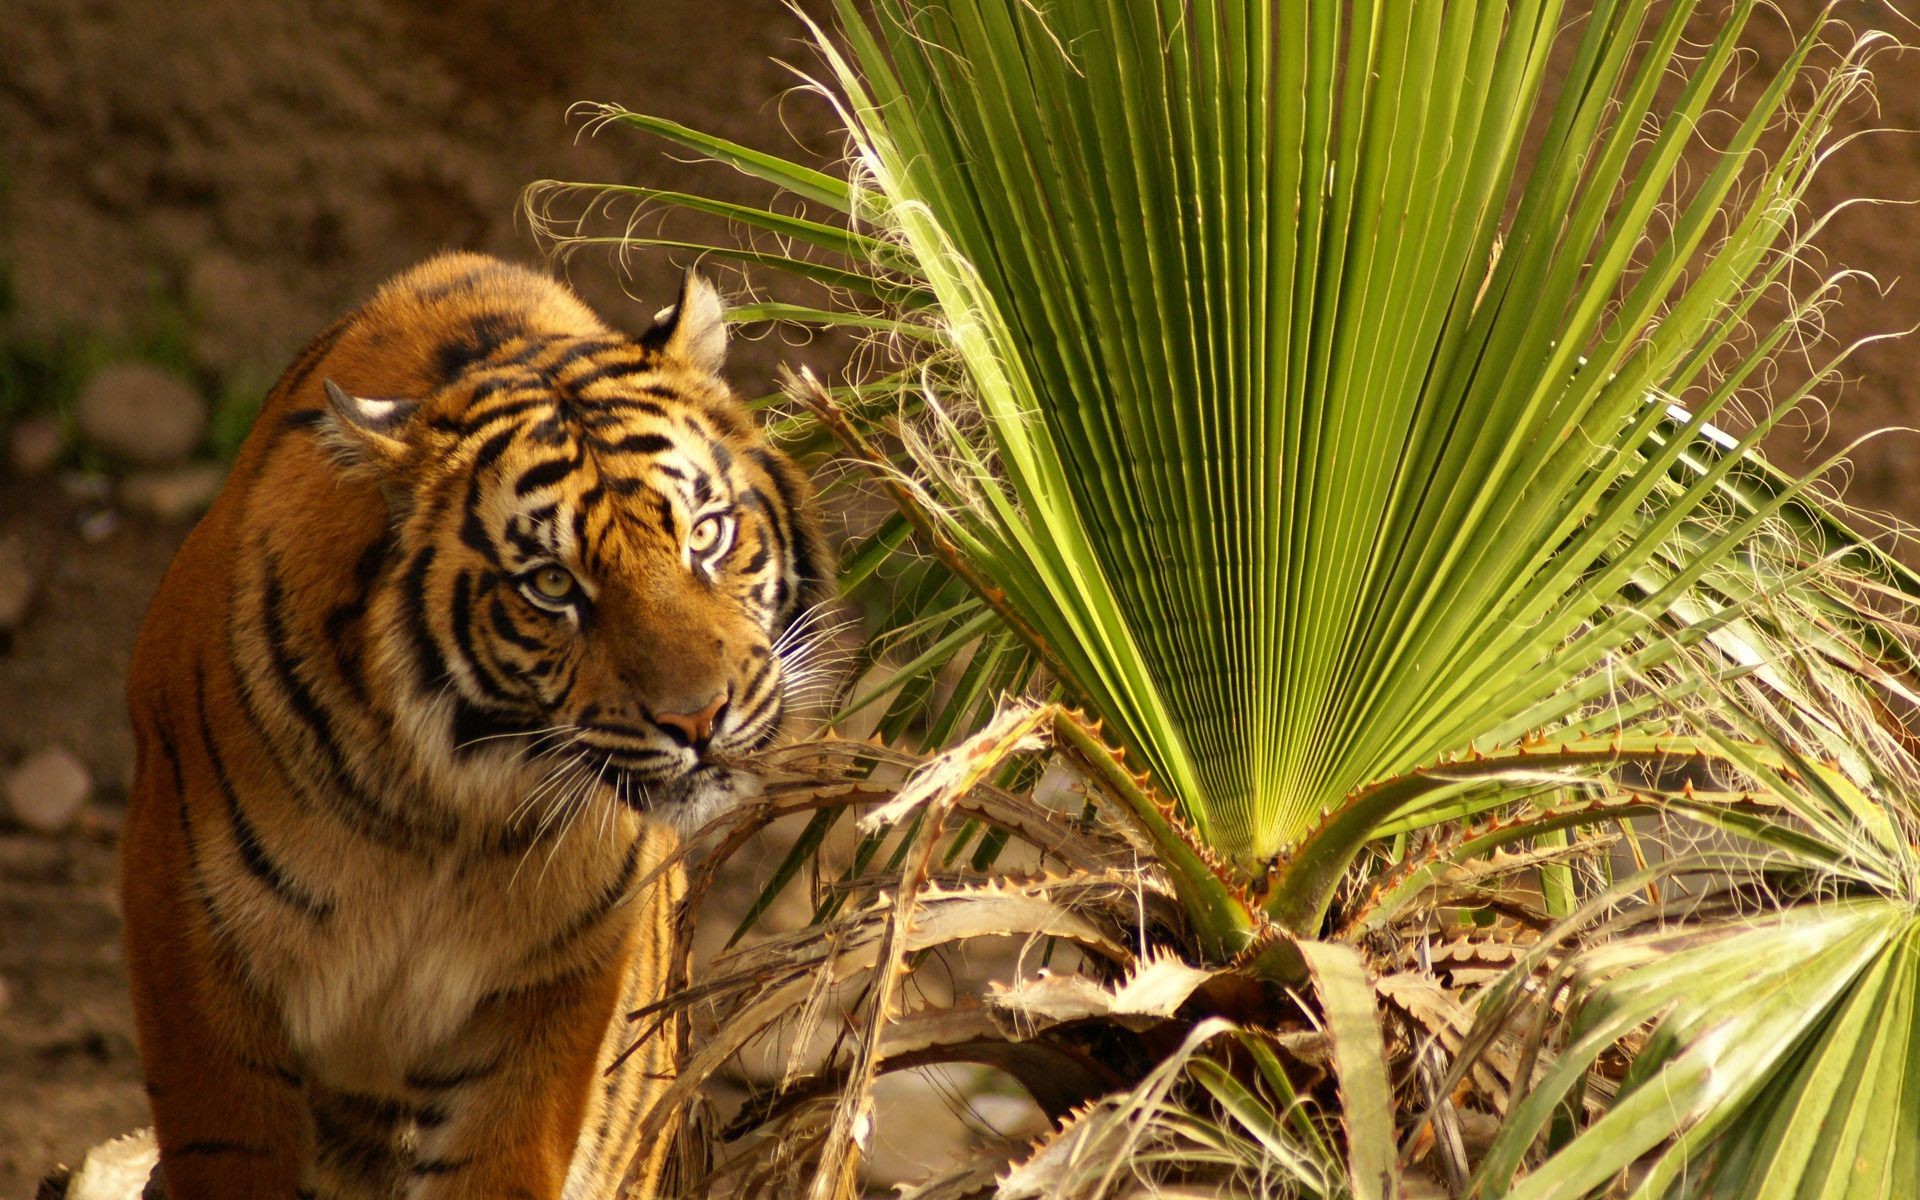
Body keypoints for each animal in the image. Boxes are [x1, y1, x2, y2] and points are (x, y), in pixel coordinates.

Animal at [116, 253, 829, 1198]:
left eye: (706, 535)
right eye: (553, 585)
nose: (699, 718)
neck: (449, 811)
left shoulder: (556, 987)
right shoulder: (193, 939)